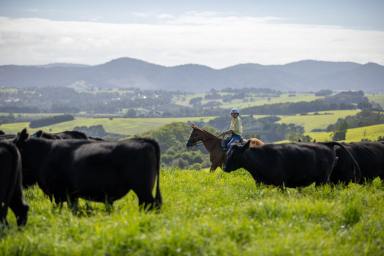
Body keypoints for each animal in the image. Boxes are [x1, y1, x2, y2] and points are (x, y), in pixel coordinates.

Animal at [14, 129, 162, 211]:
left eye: (14, 144)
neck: (45, 153)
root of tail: (145, 140)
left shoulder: (58, 192)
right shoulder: (71, 194)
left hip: (142, 188)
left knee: (150, 204)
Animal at [224, 141, 358, 187]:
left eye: (235, 154)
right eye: (227, 152)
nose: (224, 167)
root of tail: (326, 144)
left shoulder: (281, 183)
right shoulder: (259, 183)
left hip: (322, 179)